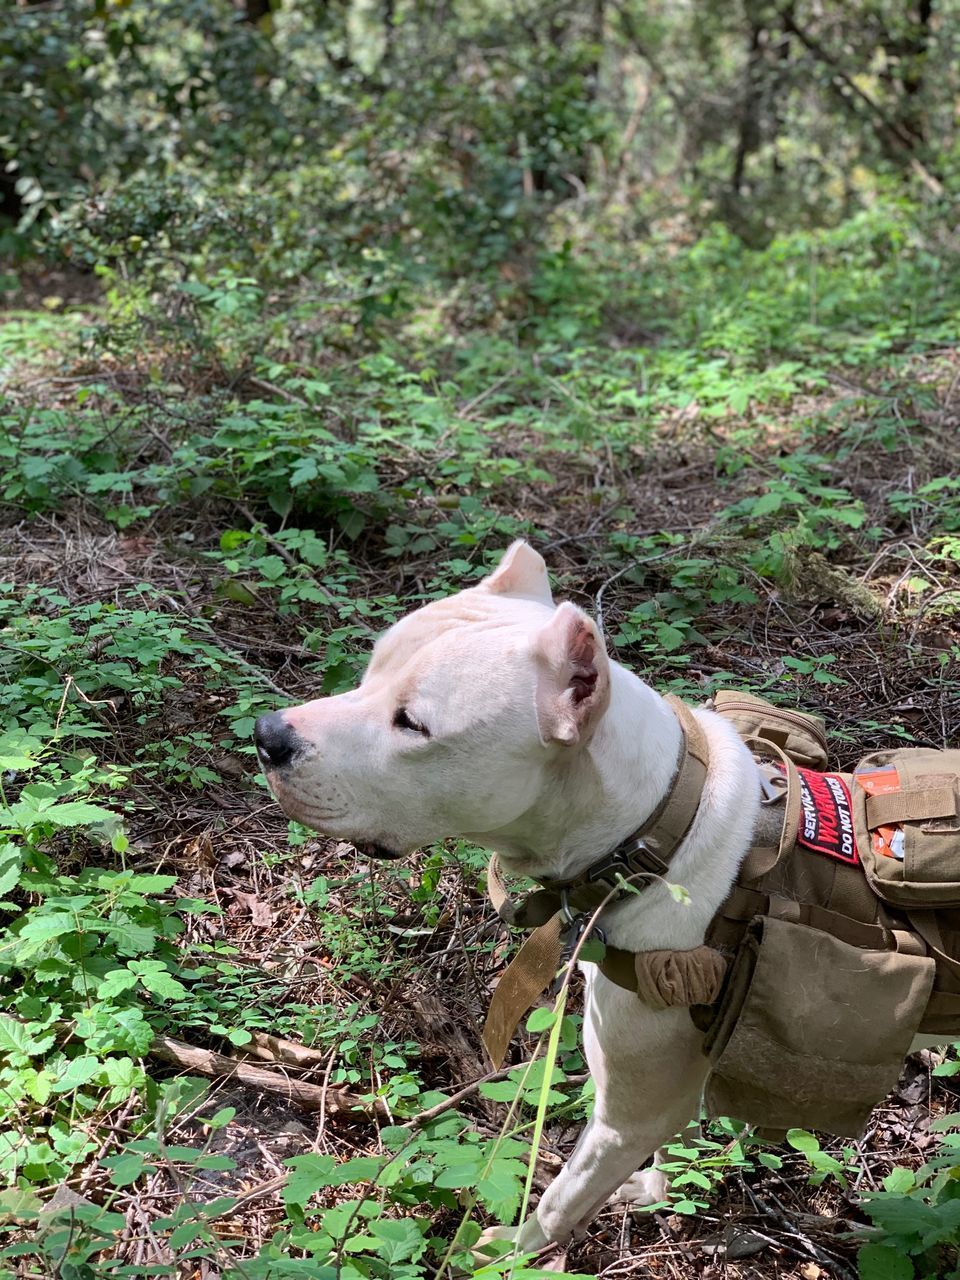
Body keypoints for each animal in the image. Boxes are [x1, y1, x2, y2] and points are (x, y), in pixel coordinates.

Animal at [253, 545, 773, 1254]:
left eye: (412, 723)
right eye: (369, 672)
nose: (267, 734)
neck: (658, 829)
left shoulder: (627, 1114)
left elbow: (562, 1194)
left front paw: (513, 1250)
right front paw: (655, 1190)